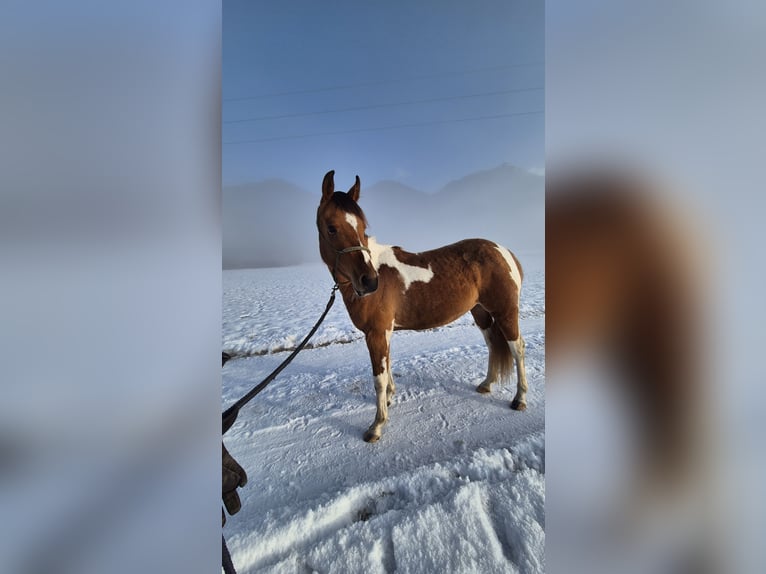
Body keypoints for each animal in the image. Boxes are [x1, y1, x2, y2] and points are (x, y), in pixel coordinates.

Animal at [317, 170, 528, 442]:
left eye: (363, 228)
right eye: (331, 228)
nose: (369, 281)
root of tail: (505, 252)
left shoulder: (377, 333)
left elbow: (379, 379)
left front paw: (376, 425)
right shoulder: (384, 332)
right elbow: (388, 367)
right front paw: (390, 400)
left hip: (505, 312)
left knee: (517, 348)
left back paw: (519, 399)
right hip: (481, 313)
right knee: (493, 344)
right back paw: (486, 385)